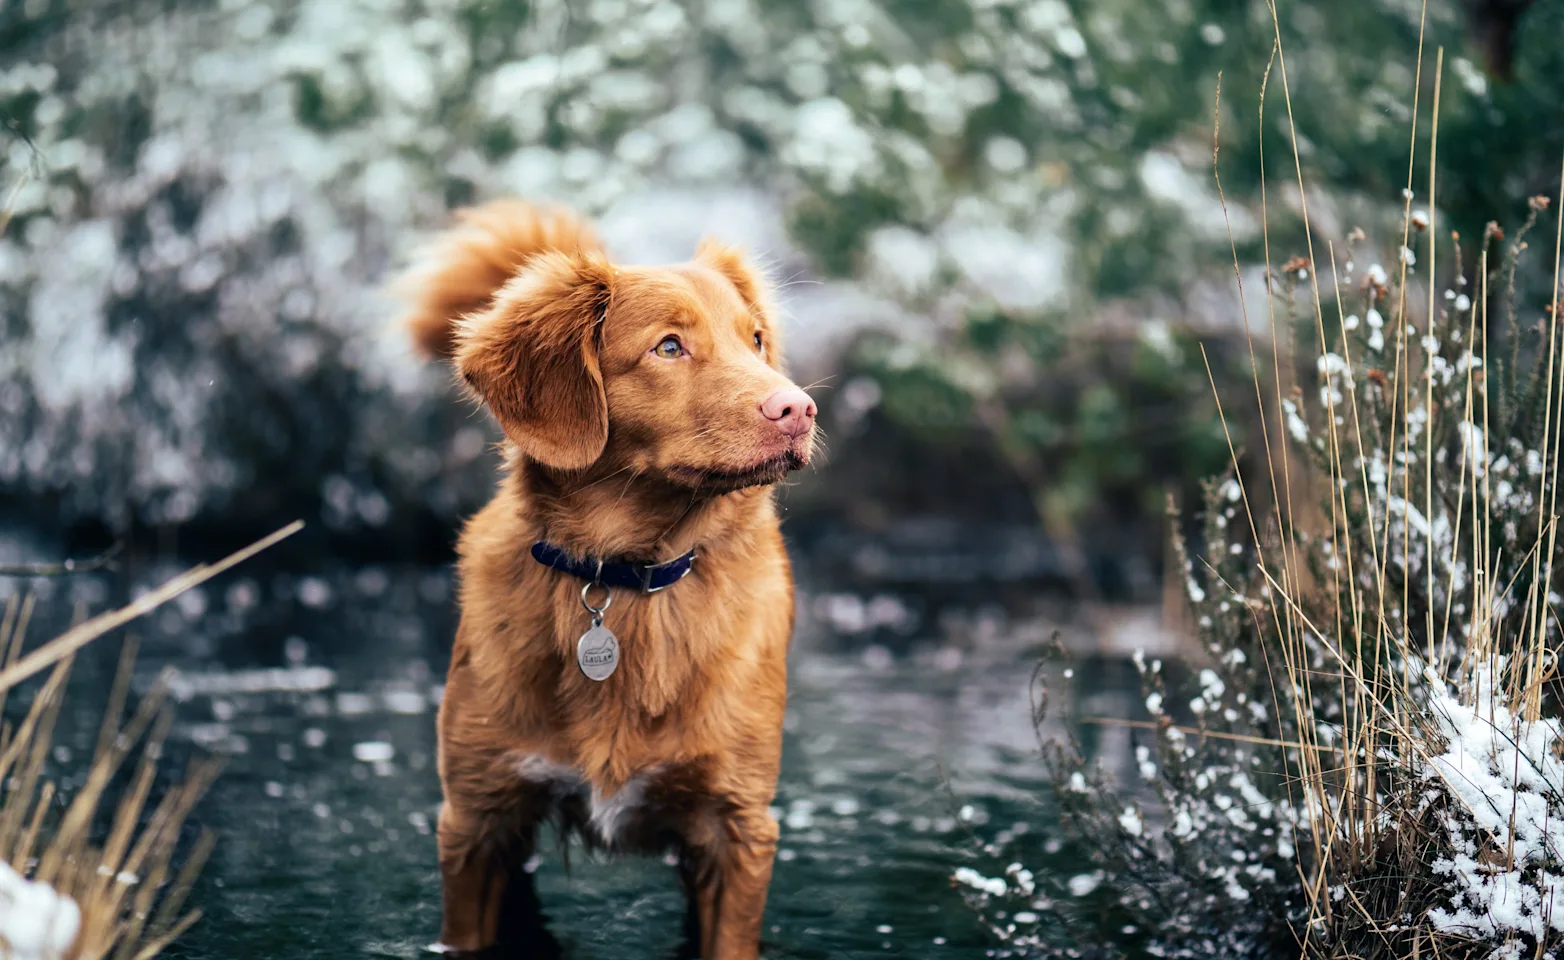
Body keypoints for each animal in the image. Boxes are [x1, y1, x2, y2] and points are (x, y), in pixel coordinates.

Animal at [397, 199, 819, 956]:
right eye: (669, 347)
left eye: (756, 340)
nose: (799, 409)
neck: (625, 580)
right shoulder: (477, 820)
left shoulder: (737, 829)